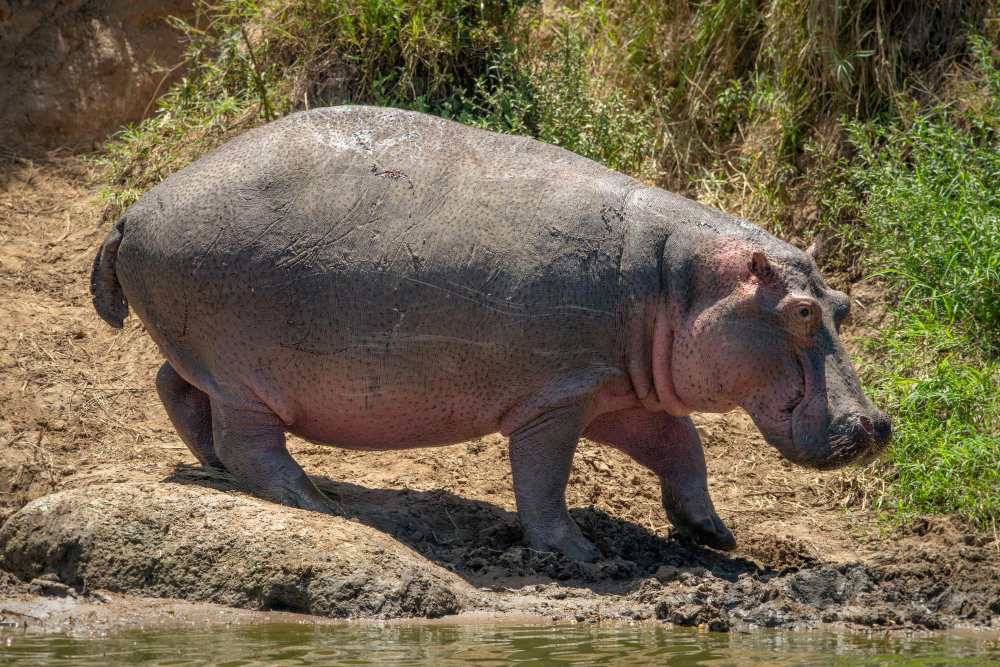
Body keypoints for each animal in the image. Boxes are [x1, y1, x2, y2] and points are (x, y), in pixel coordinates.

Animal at [91, 106, 890, 560]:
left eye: (845, 303)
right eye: (800, 312)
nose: (877, 424)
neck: (678, 281)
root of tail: (133, 208)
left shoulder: (619, 392)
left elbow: (681, 450)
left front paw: (713, 534)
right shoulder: (556, 399)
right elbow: (544, 477)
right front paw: (578, 553)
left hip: (207, 356)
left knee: (175, 389)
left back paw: (232, 474)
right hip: (245, 371)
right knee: (248, 441)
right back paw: (315, 499)